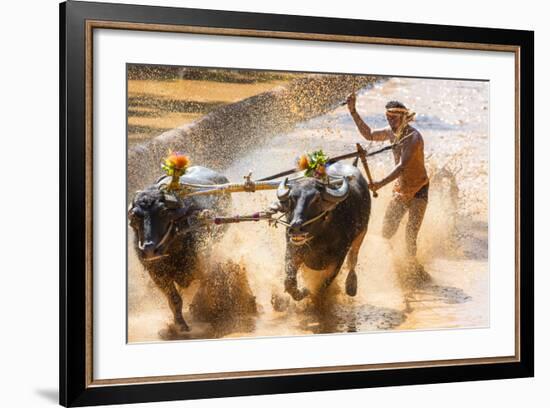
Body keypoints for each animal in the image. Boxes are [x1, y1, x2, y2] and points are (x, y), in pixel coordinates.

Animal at [129, 166, 231, 334]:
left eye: (163, 212)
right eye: (136, 216)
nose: (149, 249)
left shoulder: (203, 263)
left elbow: (203, 287)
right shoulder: (157, 274)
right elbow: (174, 299)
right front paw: (180, 324)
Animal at [278, 162, 374, 300]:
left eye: (317, 199)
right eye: (291, 198)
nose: (296, 226)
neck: (319, 237)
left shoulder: (337, 260)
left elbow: (322, 286)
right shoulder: (293, 250)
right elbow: (289, 282)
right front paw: (304, 291)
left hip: (362, 233)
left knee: (353, 259)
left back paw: (351, 286)